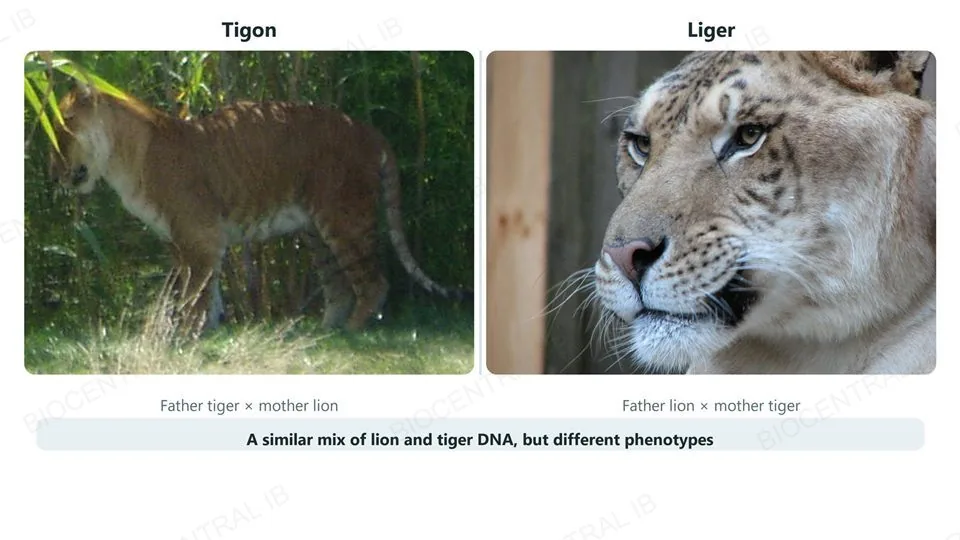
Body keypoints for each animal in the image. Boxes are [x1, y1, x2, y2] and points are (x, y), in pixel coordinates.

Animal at [48, 82, 470, 333]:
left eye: (64, 129)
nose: (53, 175)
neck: (121, 159)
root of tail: (369, 129)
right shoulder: (185, 243)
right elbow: (205, 291)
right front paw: (207, 333)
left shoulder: (199, 236)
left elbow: (193, 294)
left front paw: (185, 336)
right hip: (315, 231)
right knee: (338, 287)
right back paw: (324, 333)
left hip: (345, 217)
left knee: (373, 282)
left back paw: (351, 330)